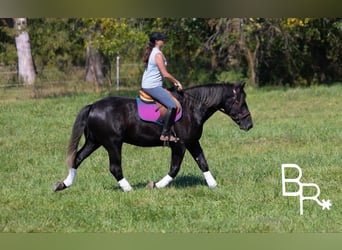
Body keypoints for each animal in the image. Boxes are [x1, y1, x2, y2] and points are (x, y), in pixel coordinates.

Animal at [52, 82, 251, 191]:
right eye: (239, 101)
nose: (249, 125)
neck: (192, 108)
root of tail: (93, 106)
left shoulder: (192, 141)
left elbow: (203, 162)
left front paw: (213, 185)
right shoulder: (180, 145)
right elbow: (174, 168)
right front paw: (155, 185)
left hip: (94, 141)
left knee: (77, 158)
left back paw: (63, 185)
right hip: (112, 143)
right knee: (114, 167)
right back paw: (129, 189)